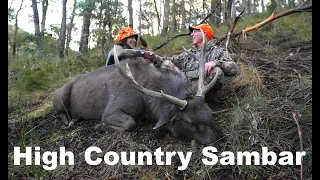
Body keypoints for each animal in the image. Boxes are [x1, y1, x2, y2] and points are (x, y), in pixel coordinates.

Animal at [53, 40, 222, 145]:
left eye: (210, 114)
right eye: (191, 122)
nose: (214, 139)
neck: (147, 103)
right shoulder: (110, 110)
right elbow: (130, 123)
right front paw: (99, 126)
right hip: (59, 97)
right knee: (60, 111)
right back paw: (69, 122)